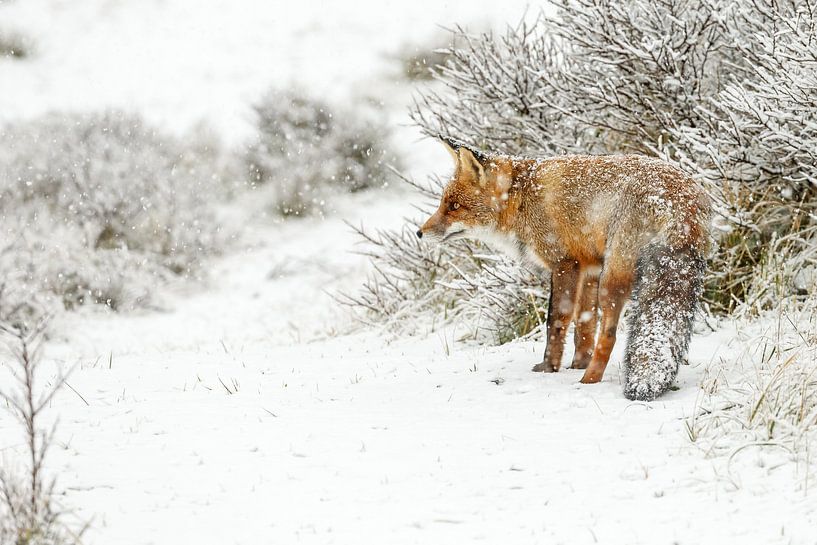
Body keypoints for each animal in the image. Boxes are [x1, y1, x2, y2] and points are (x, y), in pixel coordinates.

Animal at [414, 136, 708, 400]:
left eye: (454, 207)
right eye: (443, 203)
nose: (419, 233)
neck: (522, 198)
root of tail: (678, 196)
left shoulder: (565, 263)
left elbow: (556, 321)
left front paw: (550, 368)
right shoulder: (589, 266)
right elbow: (584, 325)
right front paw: (577, 363)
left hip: (612, 277)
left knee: (610, 335)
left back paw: (589, 381)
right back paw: (586, 373)